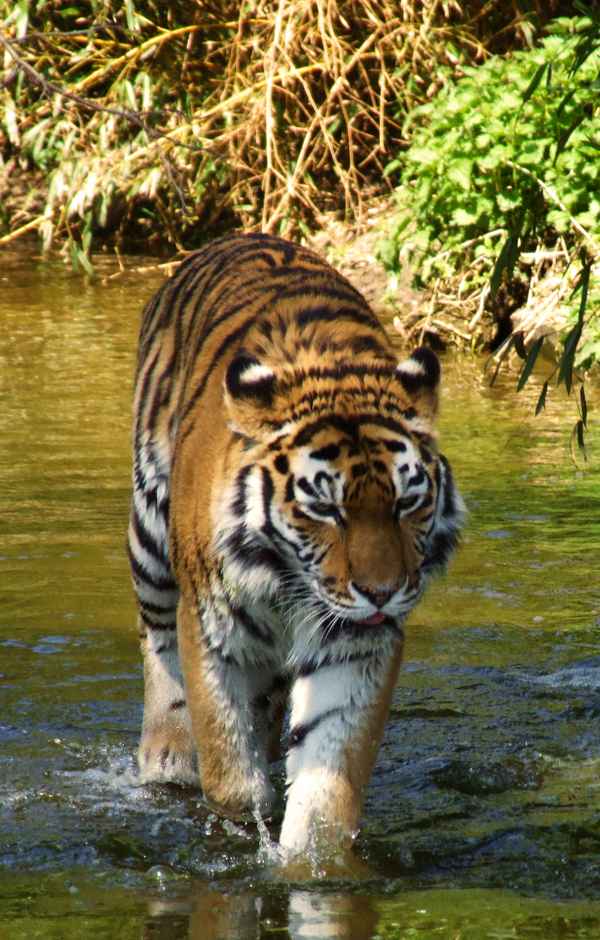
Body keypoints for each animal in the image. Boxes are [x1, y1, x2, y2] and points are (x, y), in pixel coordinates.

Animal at [127, 231, 464, 856]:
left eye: (407, 502)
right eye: (327, 509)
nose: (382, 592)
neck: (289, 581)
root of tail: (242, 235)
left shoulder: (354, 644)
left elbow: (327, 784)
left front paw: (306, 857)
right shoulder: (210, 628)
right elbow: (227, 764)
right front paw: (244, 817)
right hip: (150, 531)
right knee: (156, 637)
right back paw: (167, 754)